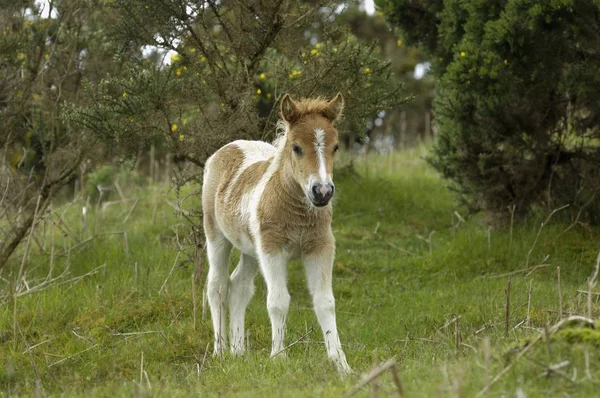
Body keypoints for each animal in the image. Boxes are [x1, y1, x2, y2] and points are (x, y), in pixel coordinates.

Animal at [202, 92, 352, 374]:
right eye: (296, 147)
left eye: (336, 147)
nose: (322, 192)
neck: (298, 213)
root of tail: (230, 146)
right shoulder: (272, 249)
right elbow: (278, 300)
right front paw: (279, 357)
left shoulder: (320, 247)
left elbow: (325, 301)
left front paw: (341, 364)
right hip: (216, 235)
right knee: (217, 285)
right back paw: (220, 351)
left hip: (251, 248)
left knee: (240, 286)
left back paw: (239, 351)